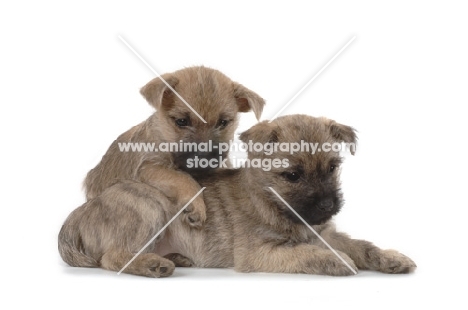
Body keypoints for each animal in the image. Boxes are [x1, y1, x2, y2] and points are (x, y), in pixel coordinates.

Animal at [59, 115, 416, 278]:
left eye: (332, 167)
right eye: (292, 175)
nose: (328, 205)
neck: (270, 203)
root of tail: (78, 215)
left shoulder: (326, 232)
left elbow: (362, 245)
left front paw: (390, 257)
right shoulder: (260, 253)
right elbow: (304, 253)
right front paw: (335, 260)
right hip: (149, 205)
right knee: (113, 257)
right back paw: (152, 264)